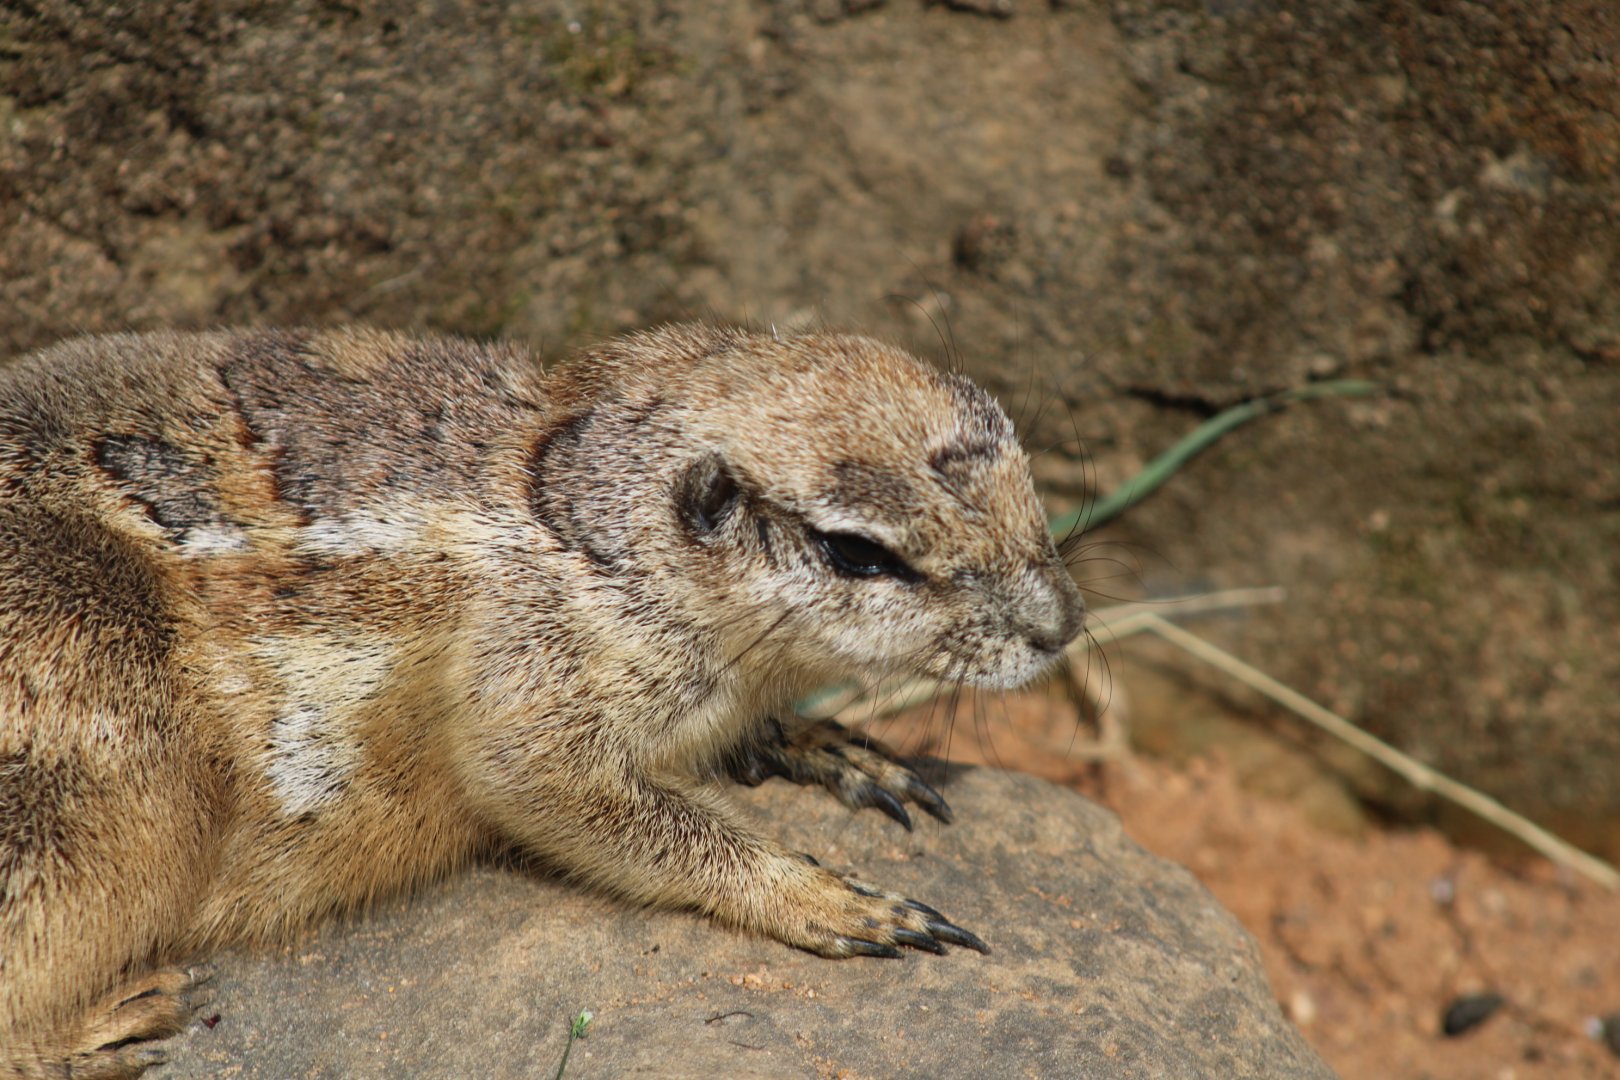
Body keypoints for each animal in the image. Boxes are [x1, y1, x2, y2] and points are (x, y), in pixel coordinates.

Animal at [0, 323, 1085, 1077]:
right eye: (858, 552)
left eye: (1022, 455)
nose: (1062, 623)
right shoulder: (530, 668)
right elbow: (558, 788)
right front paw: (834, 897)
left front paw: (832, 746)